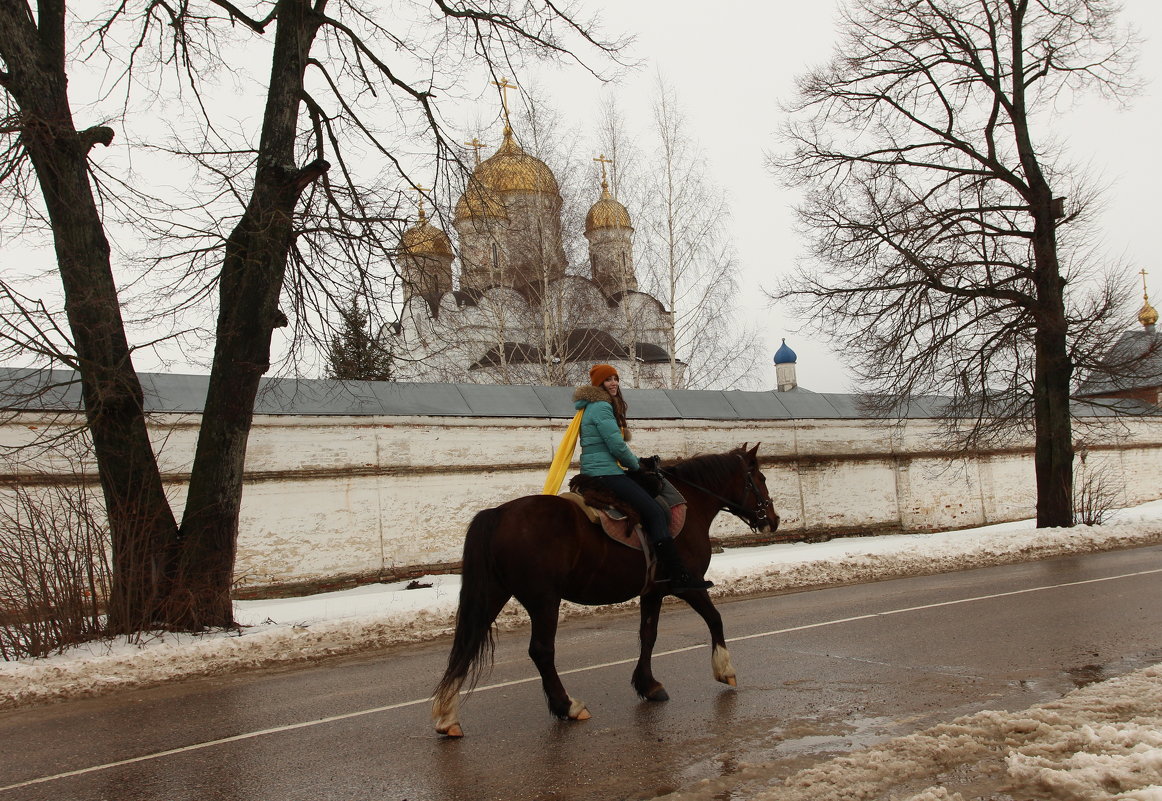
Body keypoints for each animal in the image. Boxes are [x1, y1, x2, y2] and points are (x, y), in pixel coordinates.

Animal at [432, 439, 776, 734]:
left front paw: (648, 685)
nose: (773, 519)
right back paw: (567, 705)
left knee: (467, 644)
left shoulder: (653, 592)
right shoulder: (687, 585)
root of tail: (498, 513)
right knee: (541, 651)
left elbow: (648, 636)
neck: (689, 503)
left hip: (494, 594)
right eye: (759, 477)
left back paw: (447, 716)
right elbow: (715, 619)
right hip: (544, 600)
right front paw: (725, 669)